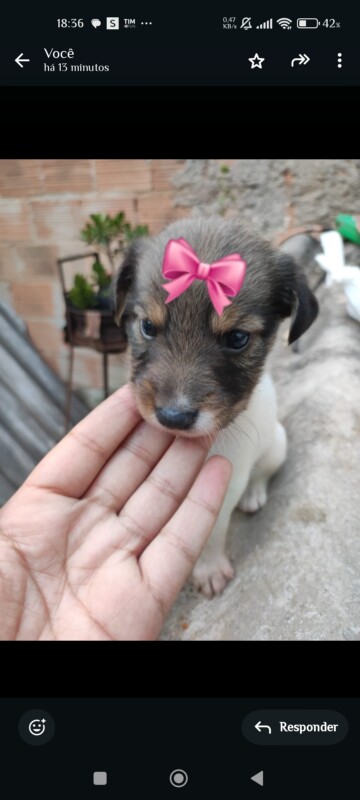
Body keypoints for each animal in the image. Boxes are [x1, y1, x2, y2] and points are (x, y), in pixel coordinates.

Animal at [112, 216, 318, 596]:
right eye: (147, 326)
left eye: (237, 338)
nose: (173, 417)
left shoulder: (226, 485)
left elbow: (212, 533)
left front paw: (208, 569)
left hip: (276, 446)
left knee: (263, 473)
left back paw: (254, 495)